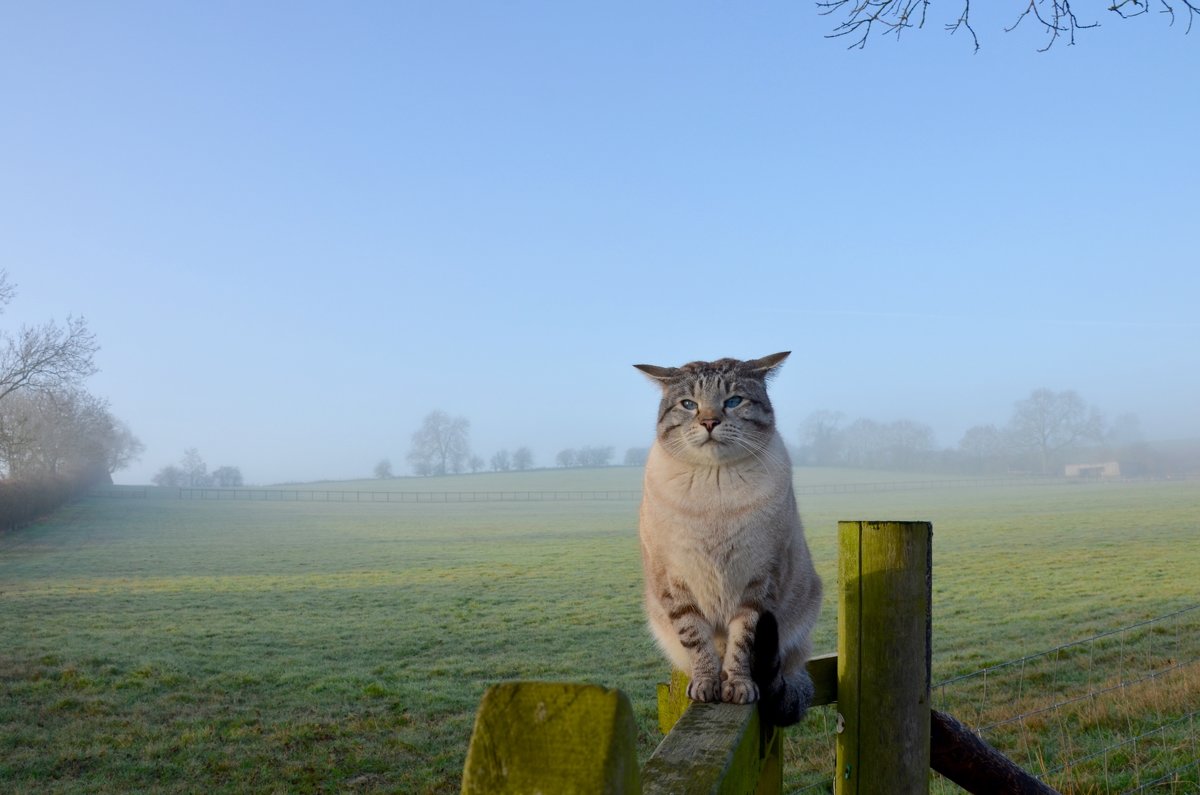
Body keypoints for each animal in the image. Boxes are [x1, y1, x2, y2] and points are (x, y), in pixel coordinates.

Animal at [633, 353, 820, 730]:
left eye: (733, 401)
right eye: (689, 405)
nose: (709, 421)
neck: (714, 489)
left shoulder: (760, 582)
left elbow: (742, 643)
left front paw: (737, 687)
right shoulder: (674, 583)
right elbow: (696, 640)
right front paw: (707, 685)